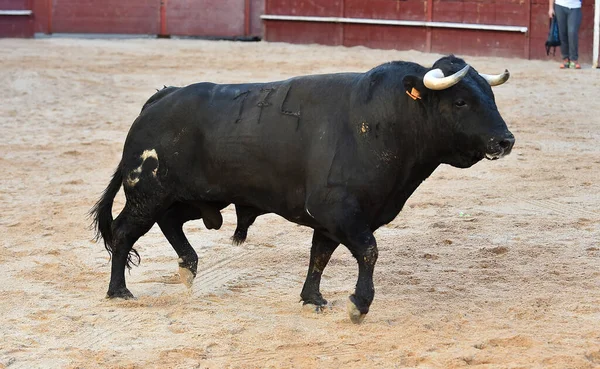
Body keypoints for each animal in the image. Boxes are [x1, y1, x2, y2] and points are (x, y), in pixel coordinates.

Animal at [91, 54, 512, 322]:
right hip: (147, 192)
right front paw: (358, 305)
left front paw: (313, 300)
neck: (385, 122)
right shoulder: (338, 209)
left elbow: (320, 256)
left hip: (194, 198)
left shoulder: (333, 220)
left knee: (170, 222)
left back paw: (188, 268)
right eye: (460, 101)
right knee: (125, 231)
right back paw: (119, 292)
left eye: (490, 96)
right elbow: (369, 251)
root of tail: (161, 96)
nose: (505, 140)